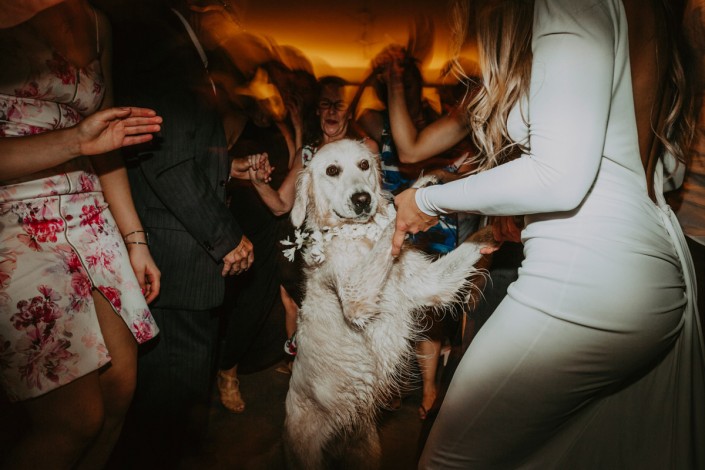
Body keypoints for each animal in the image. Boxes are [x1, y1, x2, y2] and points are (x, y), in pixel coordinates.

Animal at [283, 139, 494, 469]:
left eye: (364, 165)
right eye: (332, 170)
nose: (362, 199)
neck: (360, 239)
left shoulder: (431, 283)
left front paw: (494, 231)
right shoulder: (355, 296)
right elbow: (390, 227)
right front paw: (410, 199)